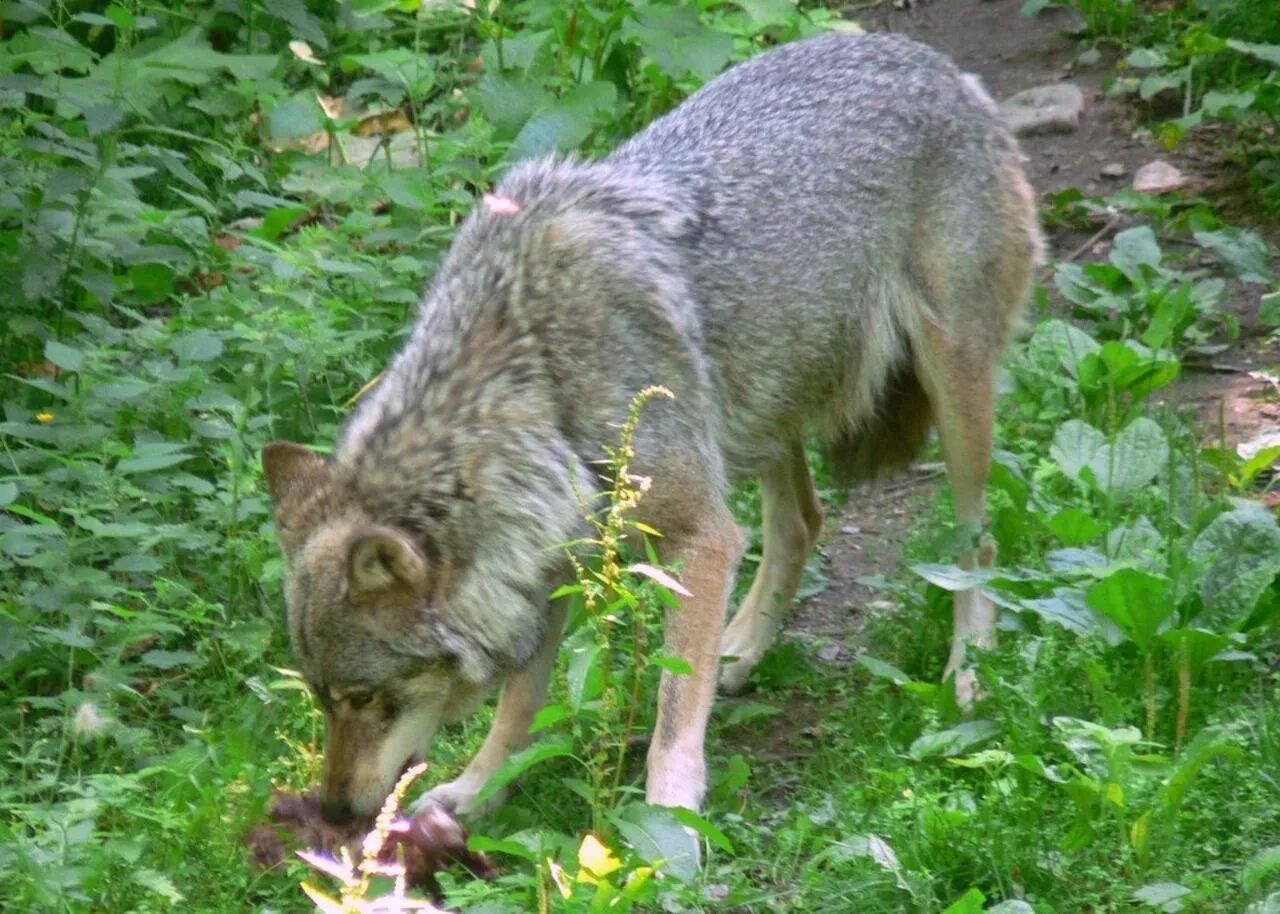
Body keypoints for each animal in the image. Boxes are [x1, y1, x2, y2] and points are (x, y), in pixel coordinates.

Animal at [259, 32, 1039, 824]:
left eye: (365, 698)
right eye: (321, 699)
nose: (332, 812)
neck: (534, 378)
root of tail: (938, 65)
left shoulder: (699, 539)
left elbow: (671, 715)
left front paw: (667, 826)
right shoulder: (549, 564)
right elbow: (519, 706)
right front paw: (477, 792)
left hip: (950, 385)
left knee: (978, 541)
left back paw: (967, 676)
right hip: (753, 409)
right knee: (802, 523)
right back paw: (739, 652)